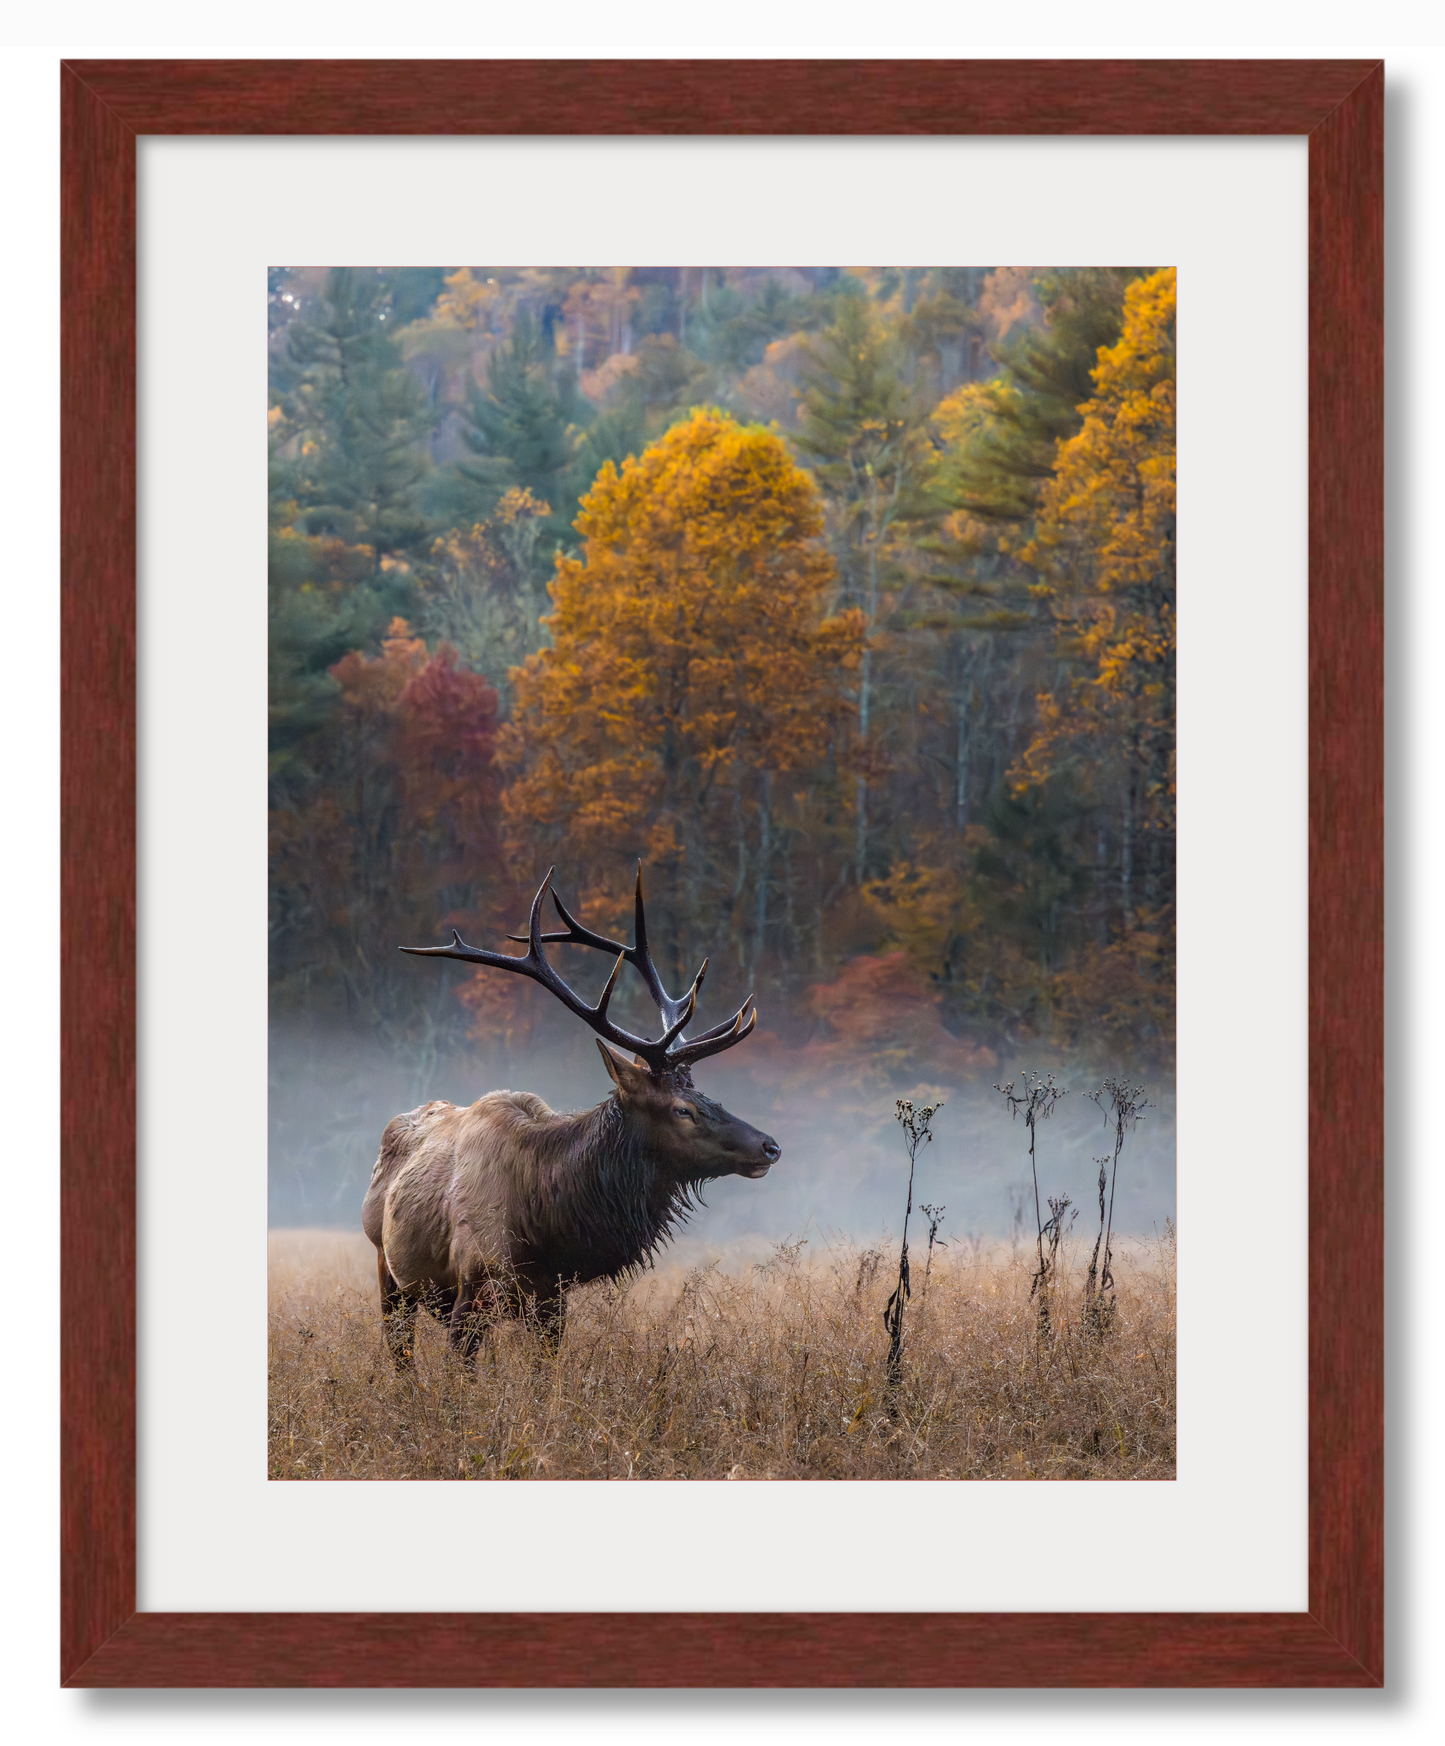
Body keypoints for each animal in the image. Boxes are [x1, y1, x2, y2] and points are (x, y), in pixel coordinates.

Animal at [366, 866, 785, 1368]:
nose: (770, 1146)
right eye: (682, 1109)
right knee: (400, 1353)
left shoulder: (551, 1301)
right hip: (389, 1270)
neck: (545, 1228)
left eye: (705, 1095)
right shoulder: (473, 1288)